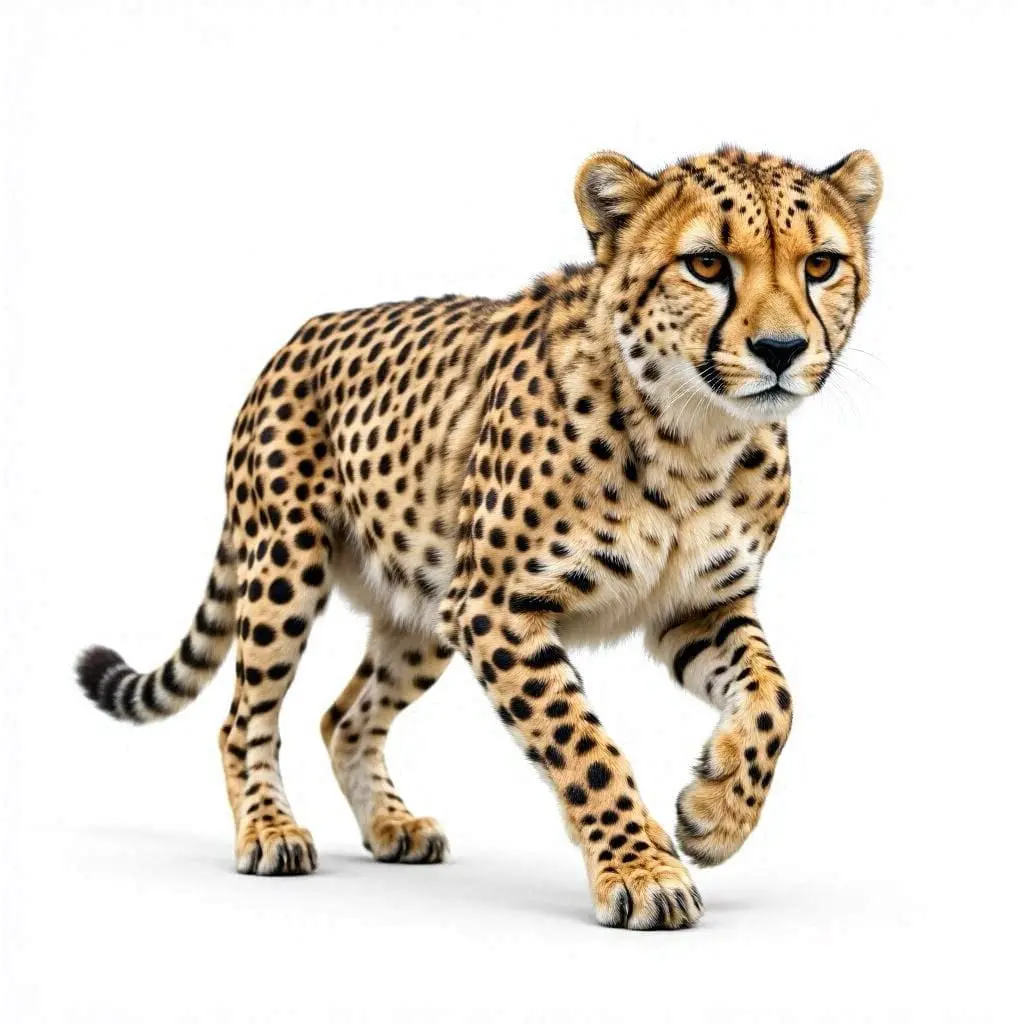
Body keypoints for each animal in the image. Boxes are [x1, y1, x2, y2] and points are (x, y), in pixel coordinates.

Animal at [76, 145, 882, 930]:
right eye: (707, 264)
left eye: (821, 264)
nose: (781, 348)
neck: (694, 438)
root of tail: (300, 334)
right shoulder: (498, 607)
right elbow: (582, 743)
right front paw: (641, 869)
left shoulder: (697, 609)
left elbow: (776, 697)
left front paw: (716, 816)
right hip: (287, 568)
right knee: (244, 717)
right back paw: (270, 830)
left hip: (424, 604)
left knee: (345, 716)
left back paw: (392, 826)